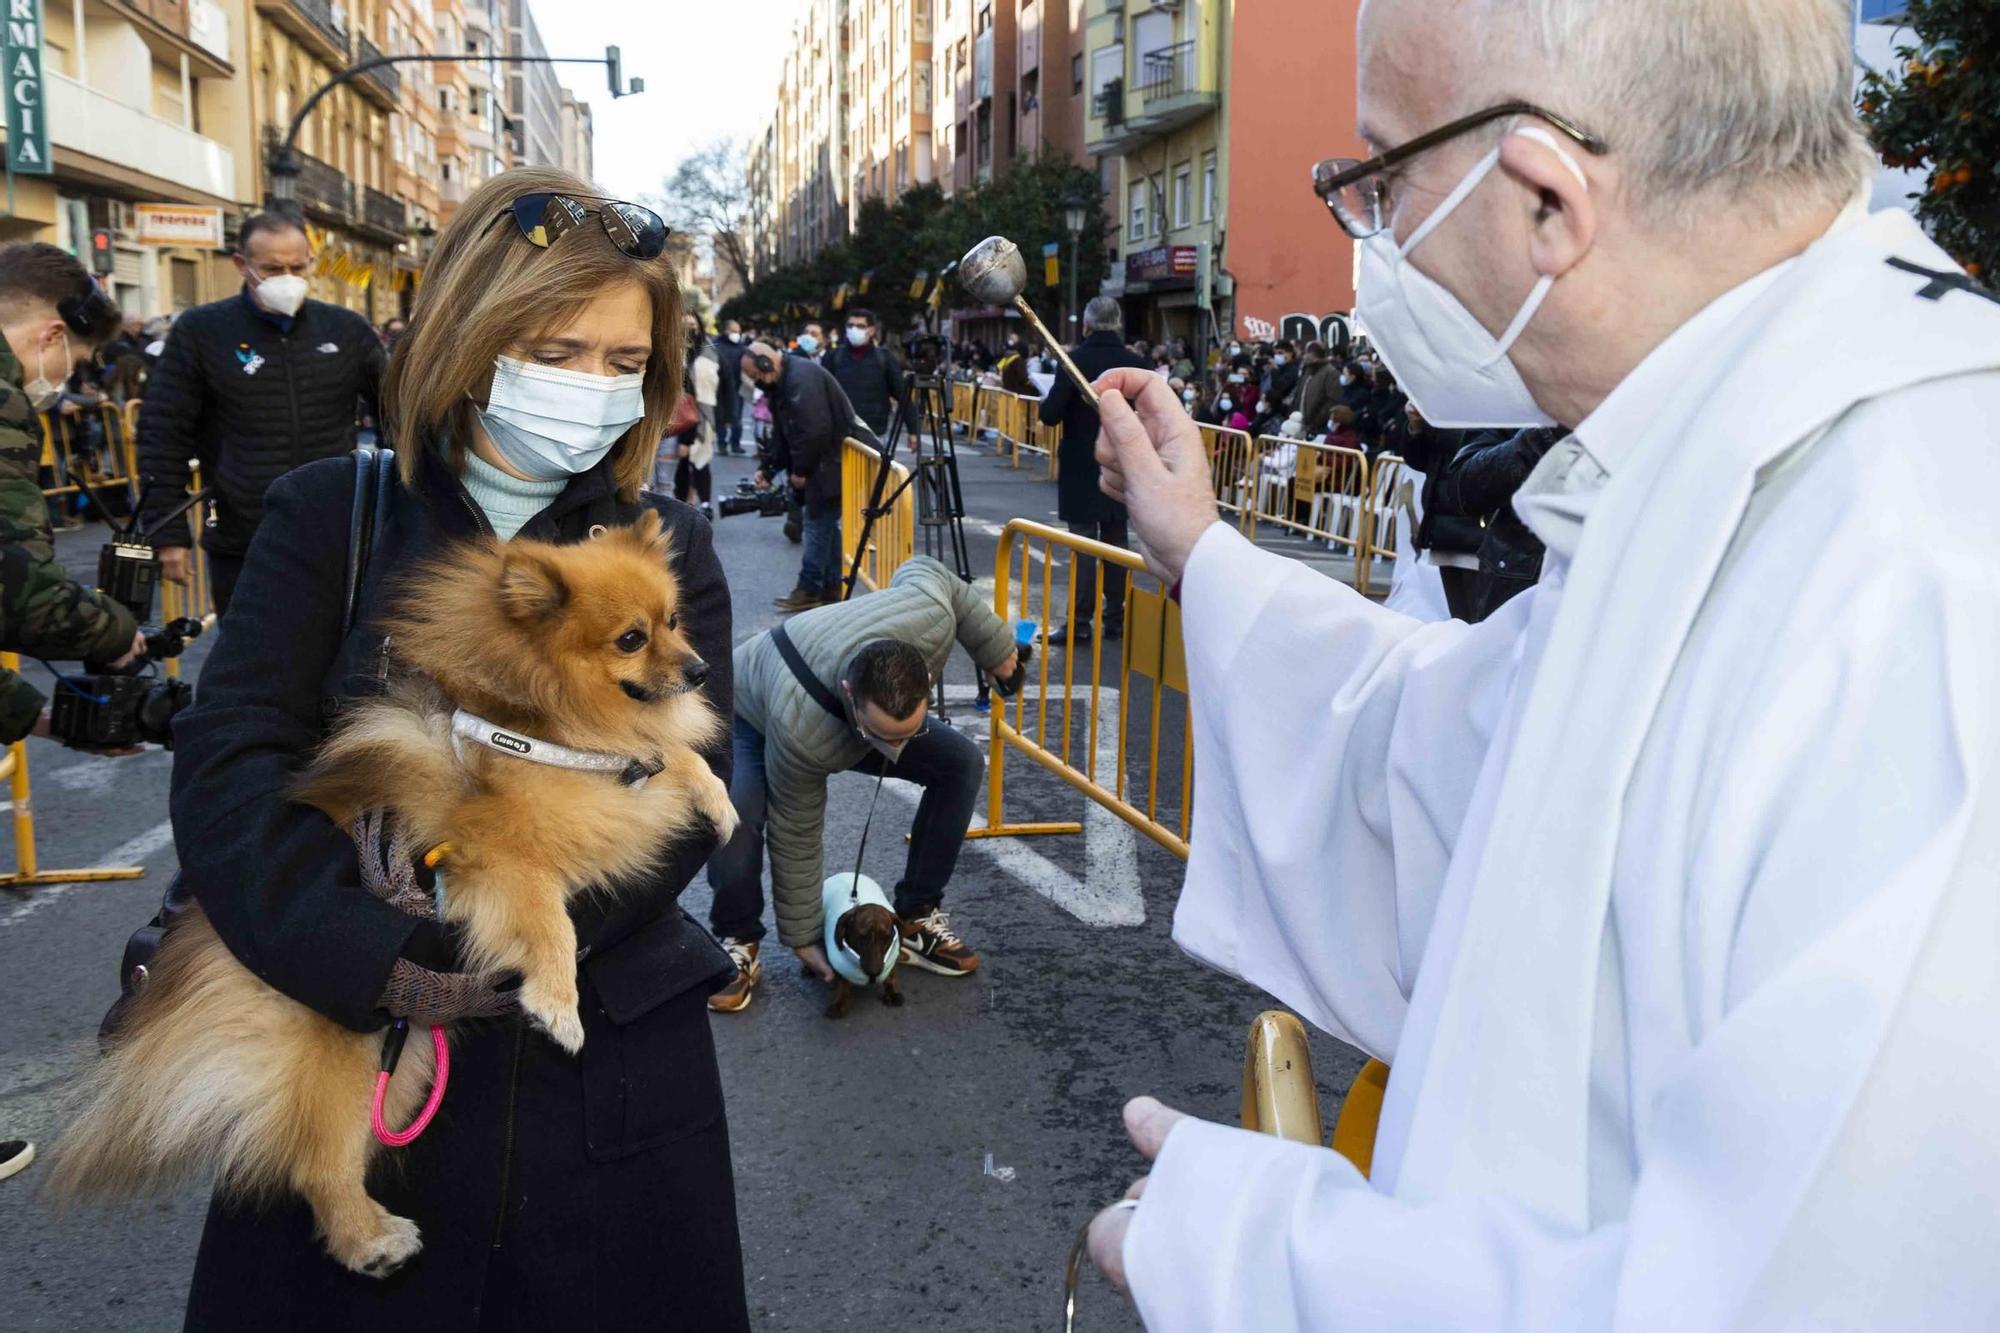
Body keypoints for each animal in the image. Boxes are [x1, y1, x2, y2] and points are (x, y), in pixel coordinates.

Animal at [56, 504, 744, 1272]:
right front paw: (558, 1005)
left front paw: (716, 799)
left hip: (406, 1060)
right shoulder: (494, 859)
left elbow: (675, 756)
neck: (545, 724)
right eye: (632, 638)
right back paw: (370, 1238)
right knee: (316, 1160)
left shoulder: (613, 783)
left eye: (676, 619)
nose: (701, 668)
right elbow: (551, 925)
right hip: (347, 1049)